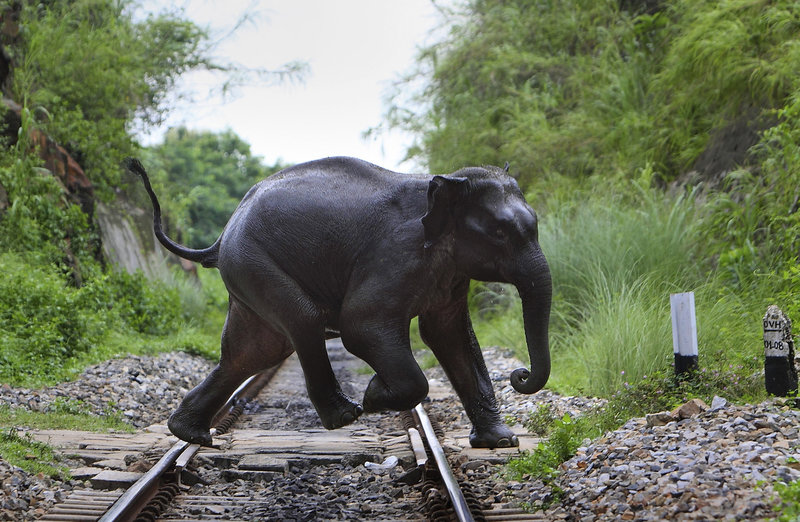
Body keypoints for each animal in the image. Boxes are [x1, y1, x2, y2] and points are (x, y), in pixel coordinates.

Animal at [126, 156, 552, 449]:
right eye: (499, 233)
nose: (519, 376)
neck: (445, 184)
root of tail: (220, 237)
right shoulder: (395, 255)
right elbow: (361, 326)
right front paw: (375, 394)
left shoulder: (451, 273)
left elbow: (450, 336)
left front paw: (501, 442)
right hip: (255, 262)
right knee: (302, 321)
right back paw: (347, 414)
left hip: (247, 271)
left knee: (254, 353)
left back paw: (190, 435)